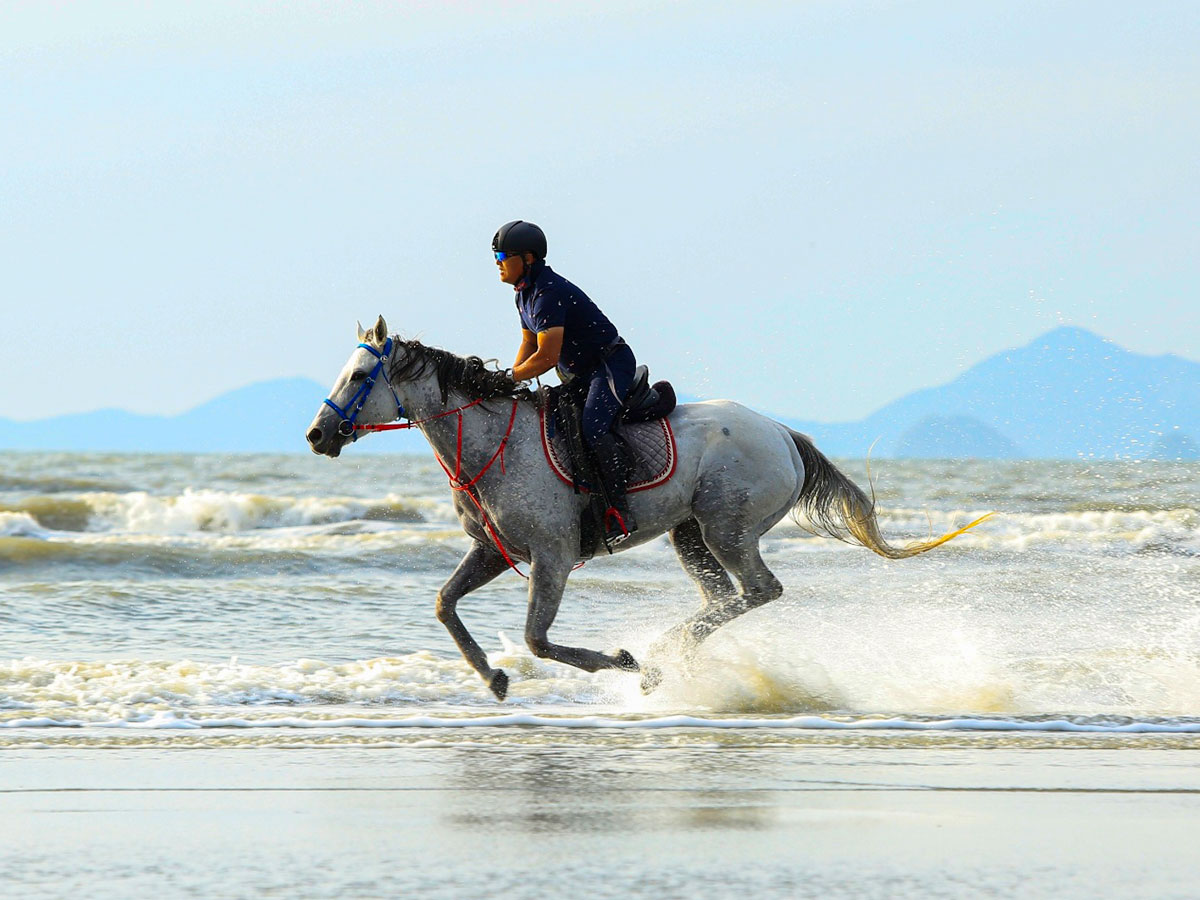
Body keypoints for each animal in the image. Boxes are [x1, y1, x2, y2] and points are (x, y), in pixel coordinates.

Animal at [304, 316, 988, 705]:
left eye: (360, 375)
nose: (316, 436)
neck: (493, 441)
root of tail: (783, 433)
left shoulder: (551, 556)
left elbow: (537, 639)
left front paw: (621, 660)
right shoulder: (494, 552)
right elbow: (445, 604)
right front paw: (492, 678)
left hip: (726, 527)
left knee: (759, 590)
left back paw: (656, 657)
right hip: (689, 535)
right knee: (725, 598)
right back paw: (670, 657)